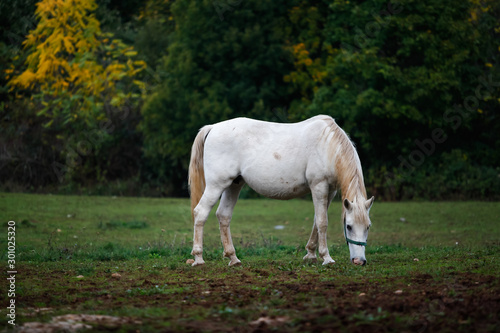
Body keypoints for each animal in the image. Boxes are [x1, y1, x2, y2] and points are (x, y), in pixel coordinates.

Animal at [188, 115, 376, 266]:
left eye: (368, 226)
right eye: (349, 226)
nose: (359, 261)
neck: (327, 146)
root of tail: (213, 128)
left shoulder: (330, 191)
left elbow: (316, 220)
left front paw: (311, 254)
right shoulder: (319, 186)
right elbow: (322, 222)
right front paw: (326, 258)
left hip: (234, 185)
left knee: (223, 216)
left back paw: (233, 259)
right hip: (216, 185)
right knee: (200, 212)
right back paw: (198, 258)